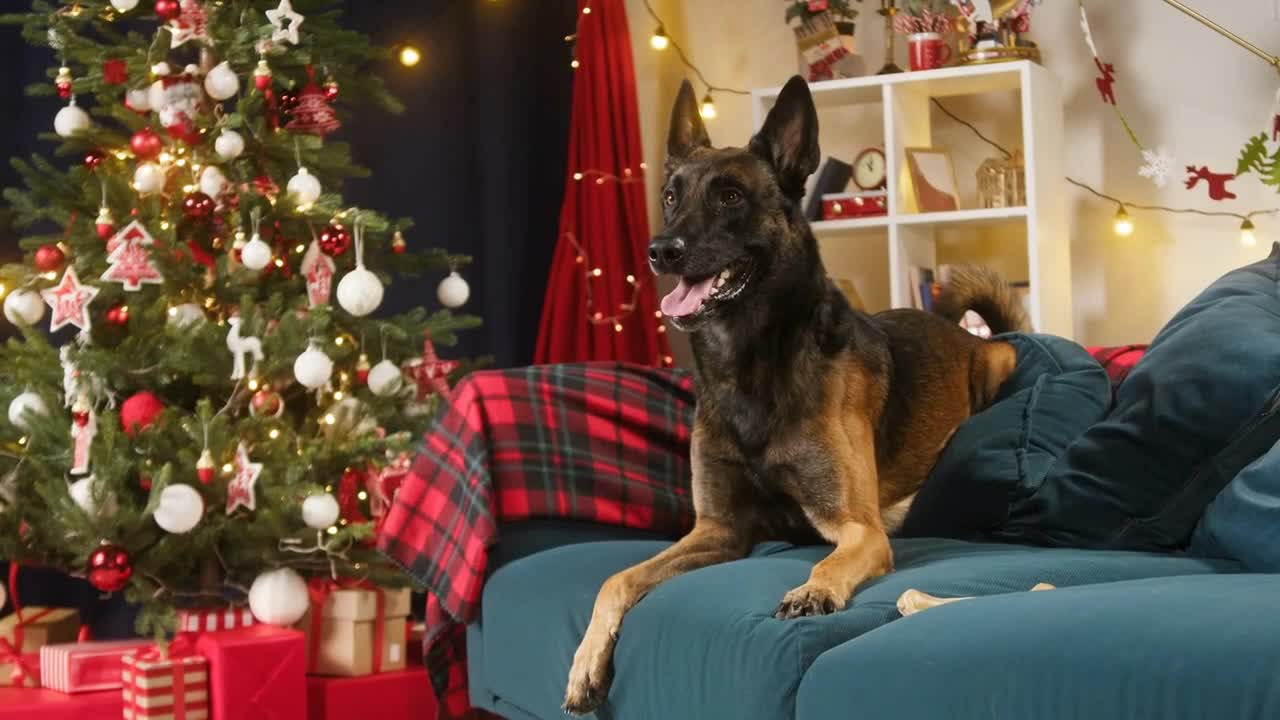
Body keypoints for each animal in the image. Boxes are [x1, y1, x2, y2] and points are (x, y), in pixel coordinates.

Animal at [565, 74, 1024, 712]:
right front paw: (585, 663)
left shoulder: (860, 529)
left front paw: (814, 591)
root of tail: (959, 329)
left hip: (1001, 359)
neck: (749, 365)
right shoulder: (717, 530)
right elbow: (618, 578)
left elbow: (833, 559)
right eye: (670, 197)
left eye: (731, 197)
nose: (661, 250)